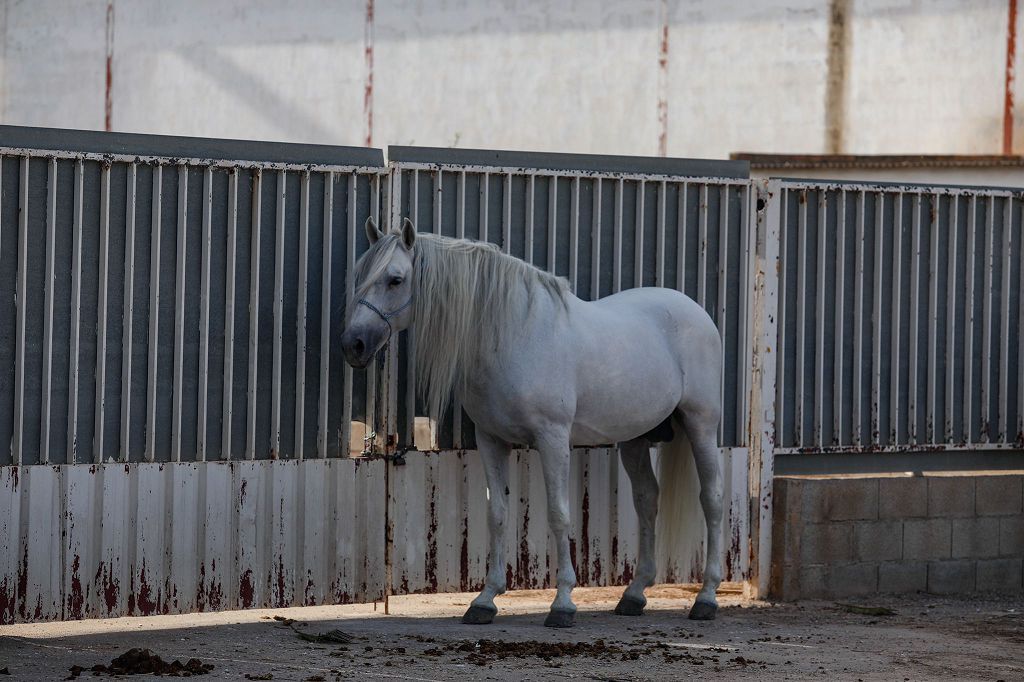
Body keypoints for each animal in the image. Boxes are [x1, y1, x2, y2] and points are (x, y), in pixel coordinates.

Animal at [339, 218, 724, 626]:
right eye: (360, 274)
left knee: (712, 499)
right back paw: (634, 595)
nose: (353, 345)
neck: (512, 335)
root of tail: (694, 310)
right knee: (647, 499)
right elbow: (497, 514)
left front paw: (563, 603)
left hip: (701, 424)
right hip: (634, 438)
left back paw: (706, 598)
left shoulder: (552, 439)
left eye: (395, 279)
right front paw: (485, 600)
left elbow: (559, 514)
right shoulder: (491, 440)